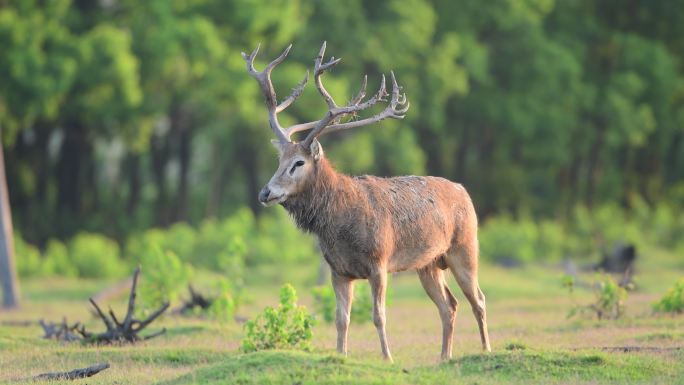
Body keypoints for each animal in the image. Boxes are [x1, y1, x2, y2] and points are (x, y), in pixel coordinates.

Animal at [243, 42, 488, 364]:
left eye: (298, 163)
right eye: (279, 160)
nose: (265, 193)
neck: (339, 225)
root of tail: (464, 191)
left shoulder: (379, 262)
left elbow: (378, 316)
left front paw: (388, 358)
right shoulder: (338, 270)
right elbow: (341, 319)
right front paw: (340, 355)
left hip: (465, 248)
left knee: (479, 299)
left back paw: (486, 349)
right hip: (429, 264)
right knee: (450, 305)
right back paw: (443, 357)